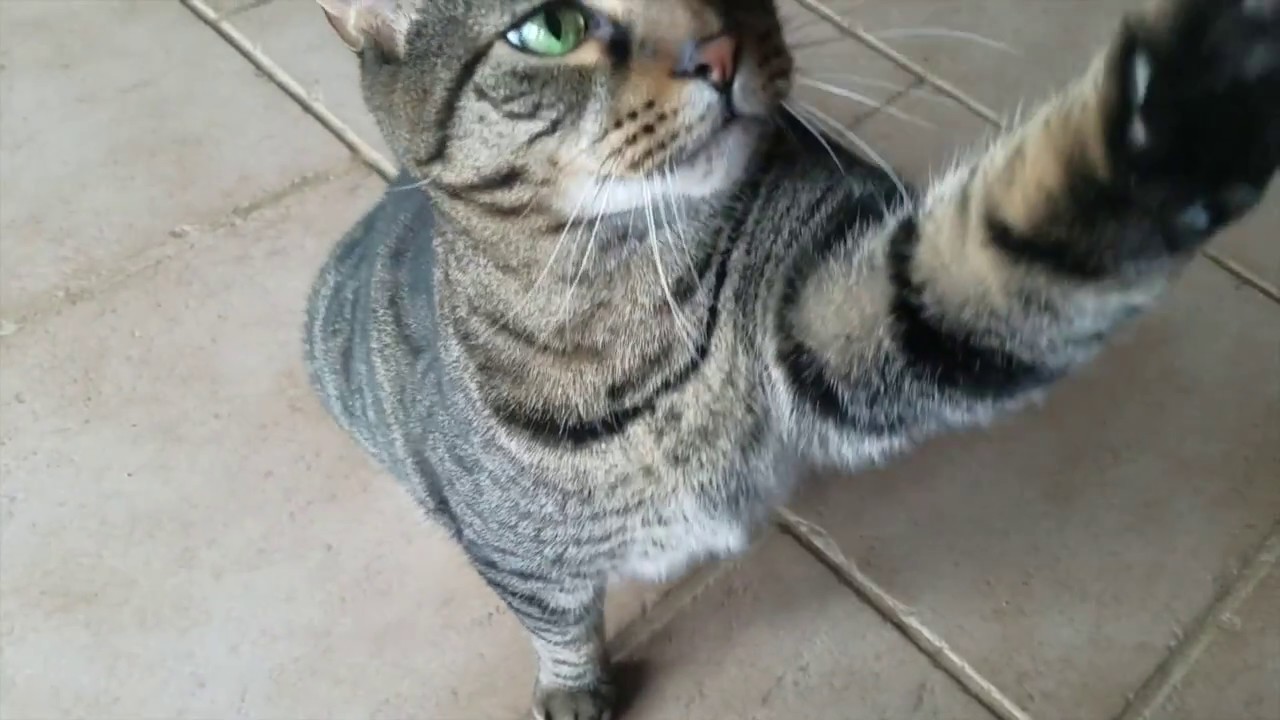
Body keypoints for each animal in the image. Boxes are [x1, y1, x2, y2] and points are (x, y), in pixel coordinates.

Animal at [303, 0, 1280, 717]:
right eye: (550, 27)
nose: (721, 48)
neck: (622, 292)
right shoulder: (518, 558)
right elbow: (557, 622)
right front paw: (573, 689)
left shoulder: (833, 309)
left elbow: (984, 260)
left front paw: (1186, 102)